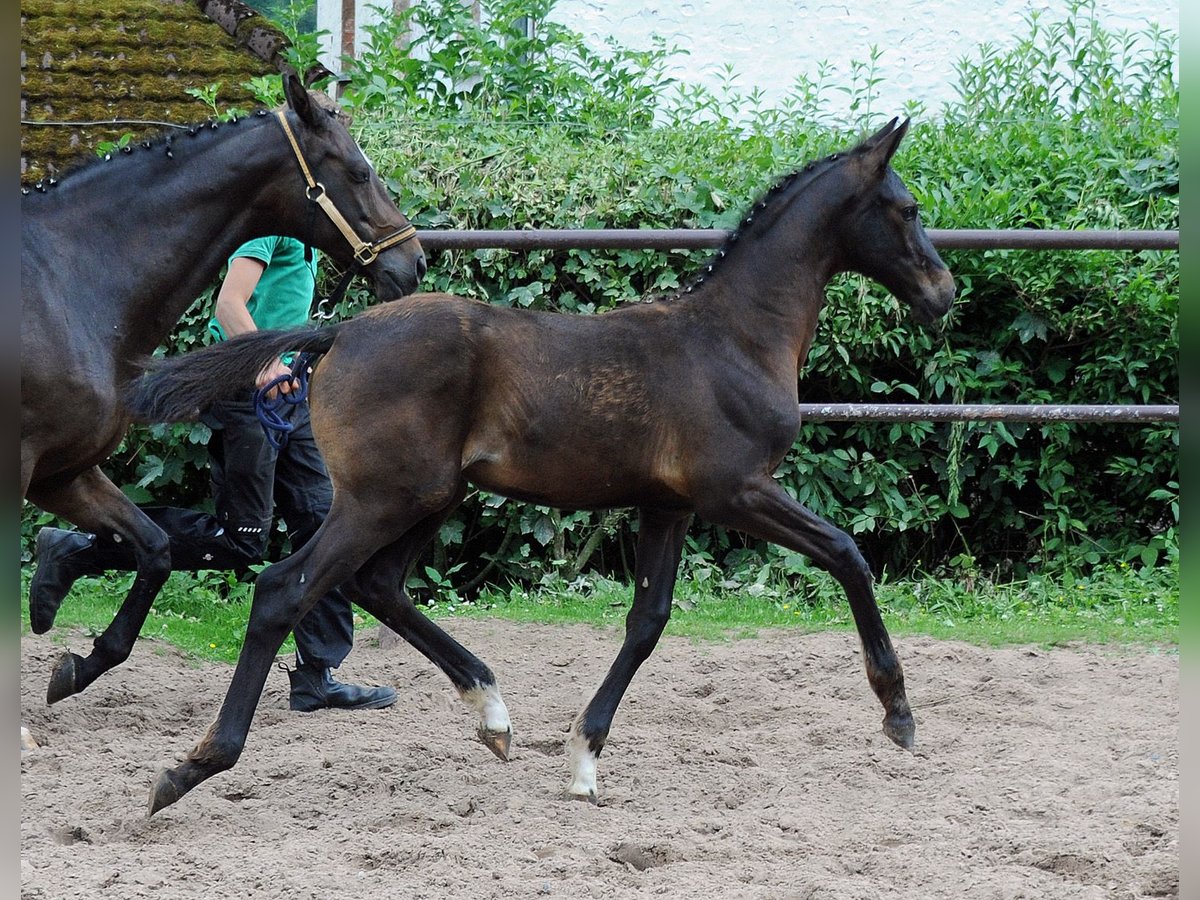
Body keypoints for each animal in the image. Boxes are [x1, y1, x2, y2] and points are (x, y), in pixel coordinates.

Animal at [129, 116, 955, 816]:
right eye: (909, 208)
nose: (944, 292)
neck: (736, 338)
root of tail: (337, 332)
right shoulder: (737, 491)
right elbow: (848, 554)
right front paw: (899, 713)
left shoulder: (670, 505)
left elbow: (648, 622)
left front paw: (584, 760)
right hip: (382, 498)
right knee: (284, 590)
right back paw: (190, 768)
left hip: (428, 495)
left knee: (377, 585)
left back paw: (493, 715)